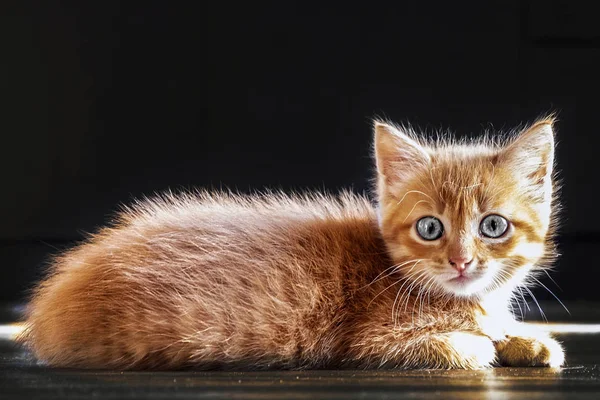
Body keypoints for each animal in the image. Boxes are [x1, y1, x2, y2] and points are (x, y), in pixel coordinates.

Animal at [18, 117, 564, 370]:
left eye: (493, 226)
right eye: (430, 228)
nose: (461, 261)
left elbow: (499, 328)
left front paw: (527, 339)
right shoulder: (368, 339)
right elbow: (463, 347)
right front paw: (484, 342)